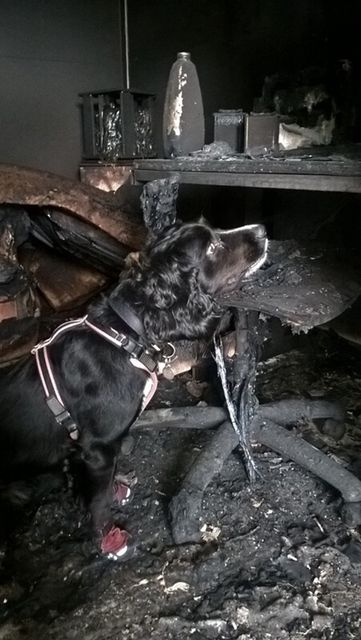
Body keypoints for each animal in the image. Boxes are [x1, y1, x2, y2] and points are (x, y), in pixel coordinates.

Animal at [0, 182, 264, 556]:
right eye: (213, 247)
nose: (262, 230)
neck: (127, 333)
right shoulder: (97, 447)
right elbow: (98, 501)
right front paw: (107, 537)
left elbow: (107, 479)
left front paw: (115, 488)